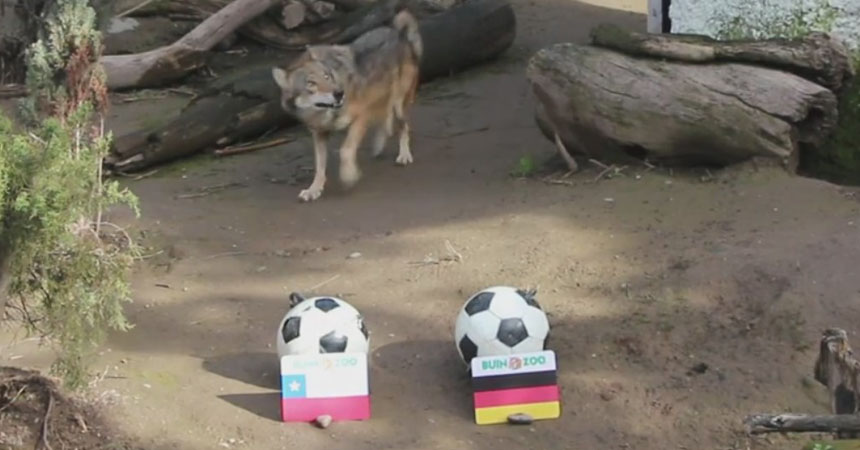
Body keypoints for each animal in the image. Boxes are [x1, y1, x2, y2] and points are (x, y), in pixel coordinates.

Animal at [272, 10, 423, 202]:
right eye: (311, 84)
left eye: (327, 76)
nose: (339, 93)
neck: (324, 115)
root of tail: (399, 33)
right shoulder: (319, 134)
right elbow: (319, 166)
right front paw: (314, 189)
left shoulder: (361, 116)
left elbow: (345, 150)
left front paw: (348, 176)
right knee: (385, 120)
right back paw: (379, 145)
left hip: (399, 105)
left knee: (403, 127)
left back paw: (404, 155)